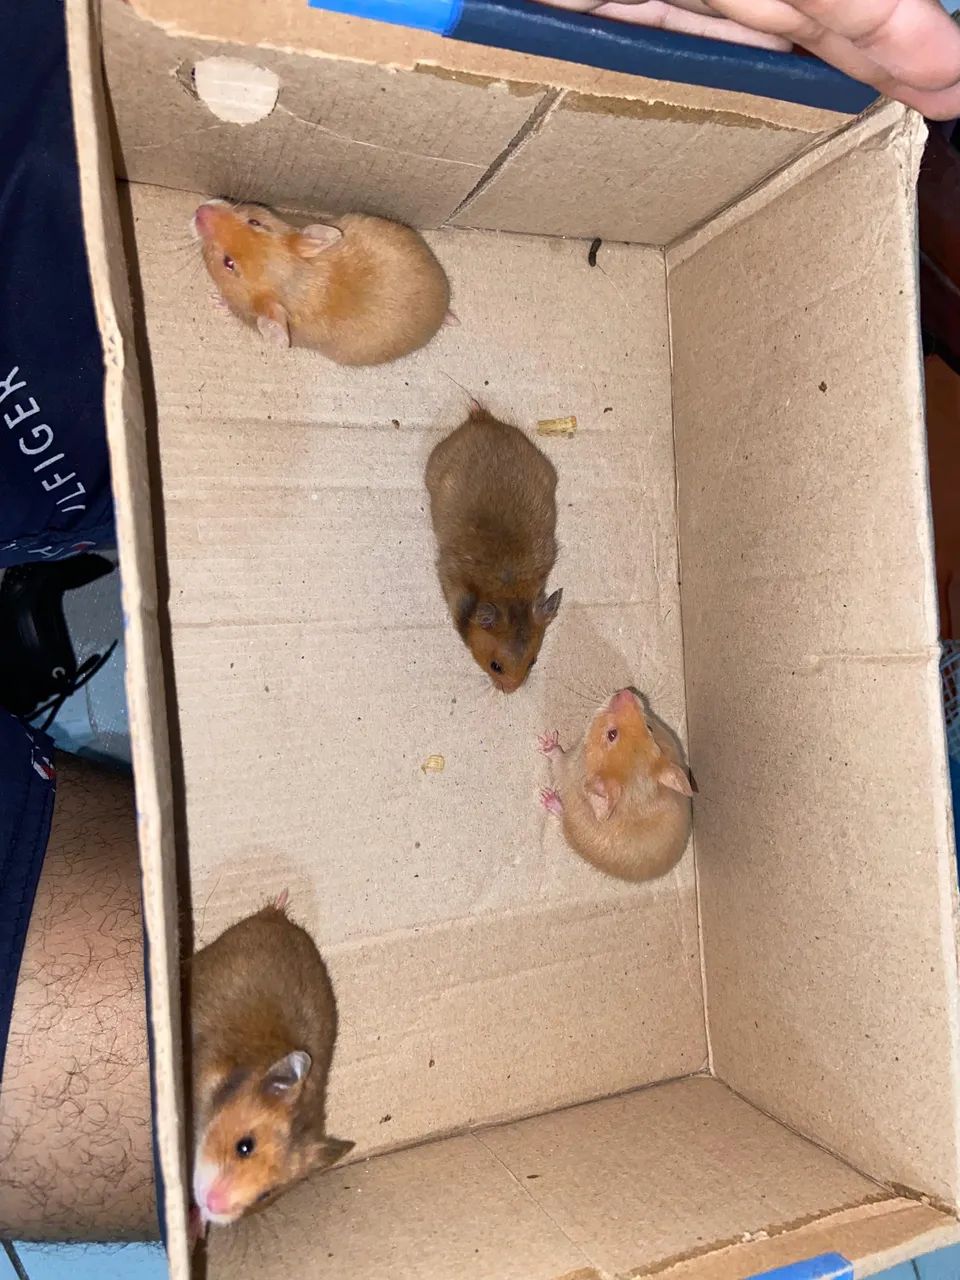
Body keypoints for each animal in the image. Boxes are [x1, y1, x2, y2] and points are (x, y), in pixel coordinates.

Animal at [192, 200, 452, 365]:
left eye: (228, 263)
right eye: (255, 222)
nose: (200, 209)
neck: (298, 284)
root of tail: (441, 312)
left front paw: (215, 299)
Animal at [539, 688, 693, 881]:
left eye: (611, 734)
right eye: (649, 727)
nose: (626, 691)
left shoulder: (570, 765)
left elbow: (557, 758)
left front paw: (545, 741)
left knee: (561, 813)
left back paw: (548, 798)